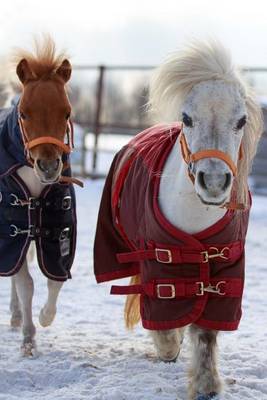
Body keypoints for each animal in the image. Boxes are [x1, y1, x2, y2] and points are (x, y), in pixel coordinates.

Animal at [126, 41, 264, 400]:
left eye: (241, 120)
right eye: (186, 118)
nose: (213, 182)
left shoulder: (227, 266)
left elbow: (206, 331)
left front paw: (206, 385)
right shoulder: (158, 258)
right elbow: (163, 311)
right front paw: (169, 346)